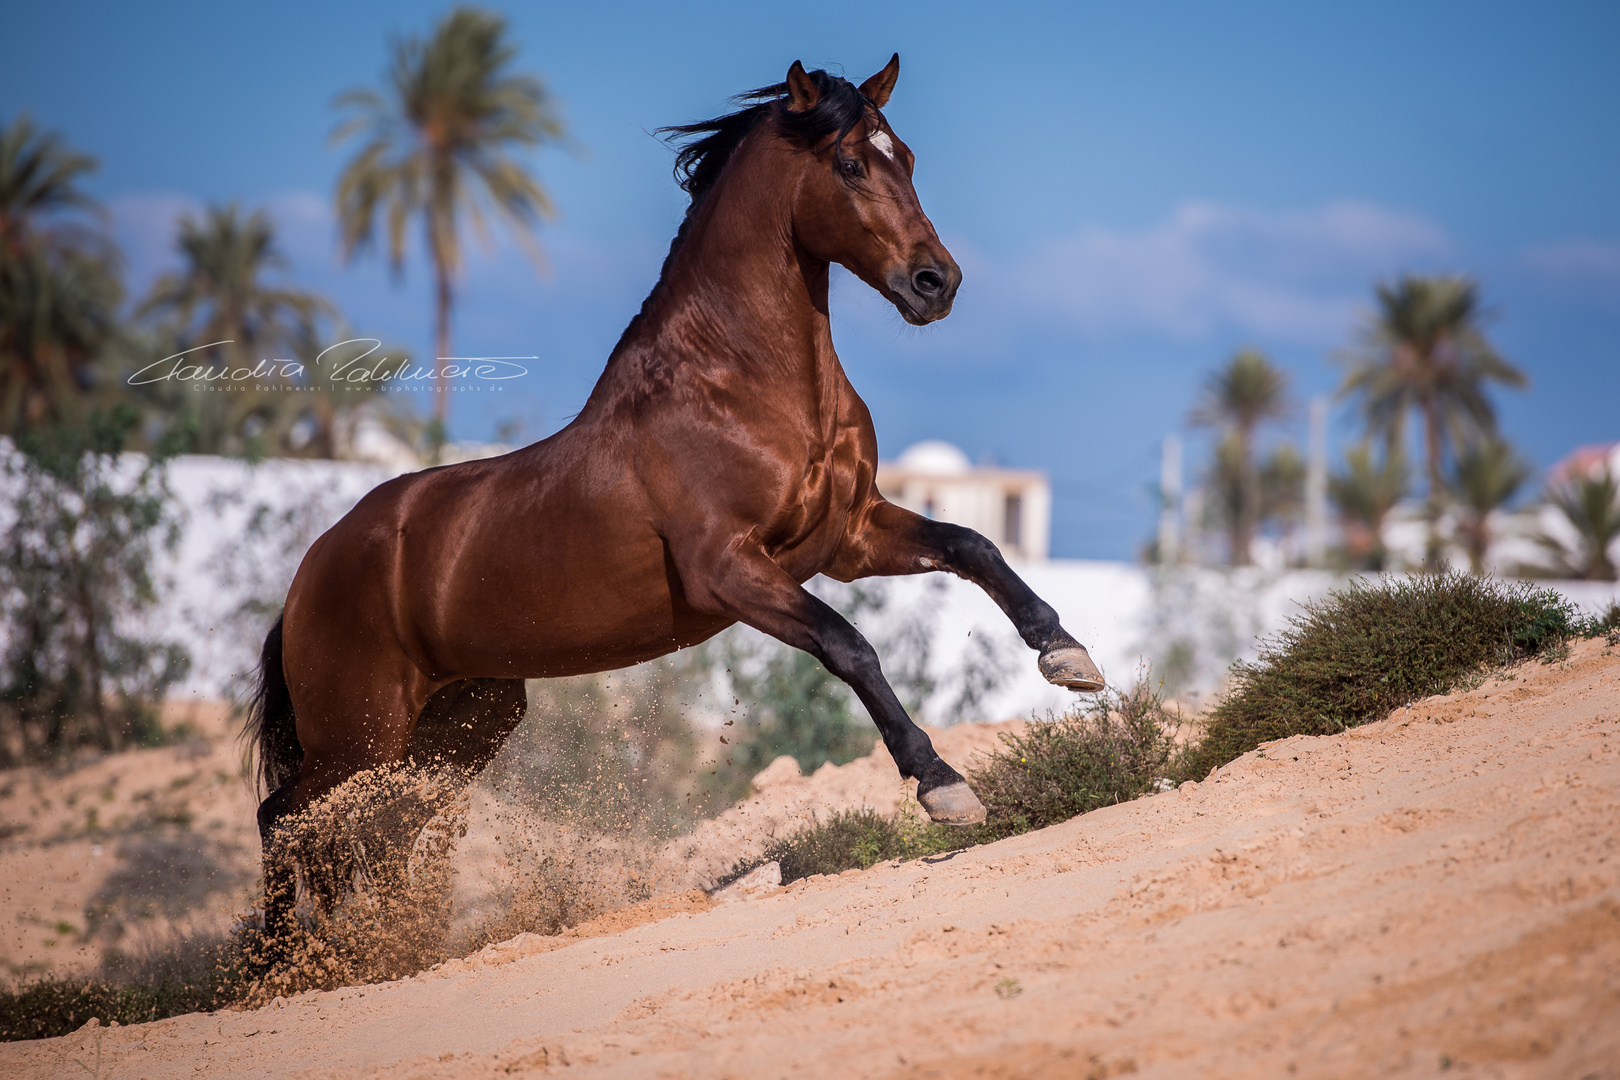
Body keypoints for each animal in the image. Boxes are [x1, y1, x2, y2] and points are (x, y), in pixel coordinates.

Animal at [246, 52, 1108, 932]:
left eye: (905, 157)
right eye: (851, 164)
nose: (938, 282)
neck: (737, 387)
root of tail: (311, 571)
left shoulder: (851, 537)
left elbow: (974, 545)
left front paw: (1068, 657)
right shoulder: (729, 569)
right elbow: (849, 646)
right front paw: (943, 786)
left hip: (454, 729)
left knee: (374, 832)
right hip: (359, 735)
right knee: (282, 818)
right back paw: (282, 960)